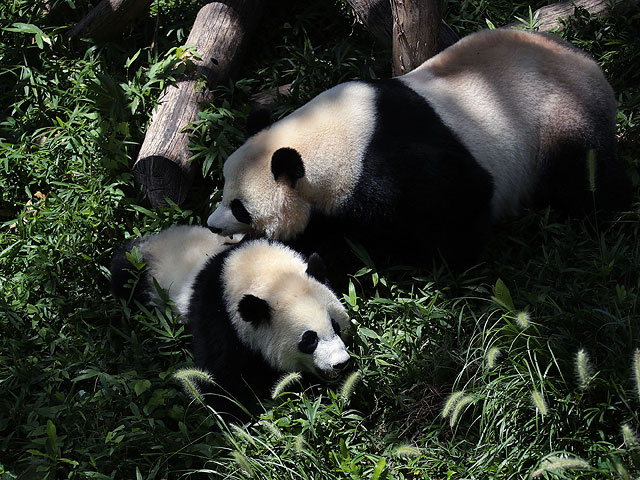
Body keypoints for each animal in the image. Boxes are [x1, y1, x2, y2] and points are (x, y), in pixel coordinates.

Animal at [110, 225, 350, 416]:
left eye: (335, 325)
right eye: (309, 340)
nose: (340, 362)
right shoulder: (218, 316)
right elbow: (219, 376)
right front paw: (235, 421)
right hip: (144, 273)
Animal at [206, 29, 632, 270]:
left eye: (240, 208)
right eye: (222, 188)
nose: (212, 224)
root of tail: (593, 67)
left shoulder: (388, 170)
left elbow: (462, 197)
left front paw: (445, 260)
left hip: (559, 118)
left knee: (586, 178)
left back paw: (604, 216)